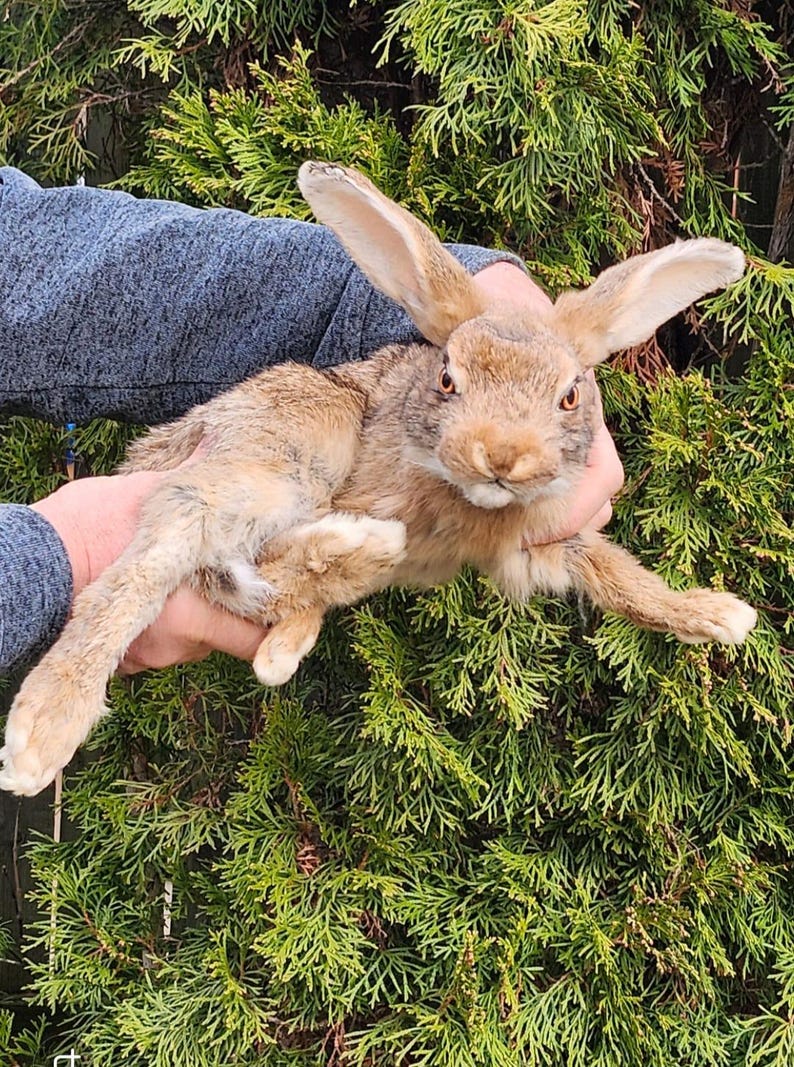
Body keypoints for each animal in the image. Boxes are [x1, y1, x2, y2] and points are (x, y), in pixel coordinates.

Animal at [0, 161, 757, 796]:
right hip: (298, 441)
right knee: (170, 540)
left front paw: (719, 617)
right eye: (448, 379)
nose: (501, 455)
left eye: (570, 395)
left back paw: (313, 608)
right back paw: (41, 735)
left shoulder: (543, 544)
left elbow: (621, 579)